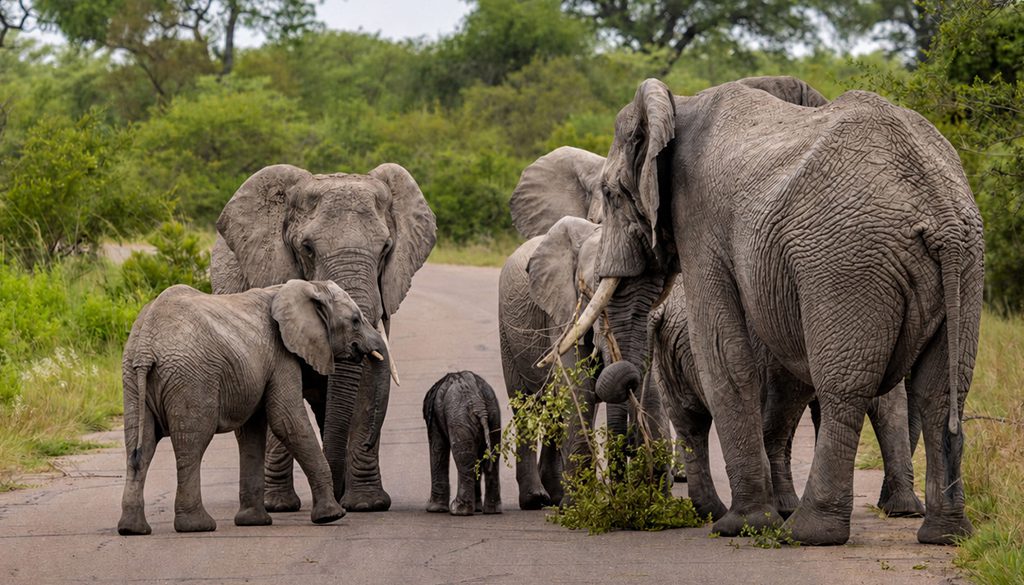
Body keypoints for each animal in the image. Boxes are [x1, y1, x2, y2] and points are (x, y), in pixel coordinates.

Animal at [118, 279, 387, 535]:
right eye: (355, 321)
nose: (367, 444)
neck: (305, 286)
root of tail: (146, 346)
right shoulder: (281, 355)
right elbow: (287, 421)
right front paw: (331, 516)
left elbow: (252, 432)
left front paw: (253, 522)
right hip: (191, 379)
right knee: (192, 445)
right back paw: (197, 526)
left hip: (131, 380)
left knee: (139, 448)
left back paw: (132, 529)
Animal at [211, 163, 436, 512]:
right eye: (308, 249)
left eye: (386, 248)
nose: (339, 496)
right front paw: (279, 505)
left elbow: (372, 381)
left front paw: (366, 504)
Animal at [423, 371, 502, 516]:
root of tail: (479, 405)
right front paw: (477, 508)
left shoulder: (434, 419)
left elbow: (438, 447)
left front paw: (434, 509)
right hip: (494, 415)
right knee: (493, 456)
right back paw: (492, 511)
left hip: (460, 418)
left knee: (463, 457)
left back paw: (458, 510)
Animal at [498, 215, 664, 510]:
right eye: (598, 285)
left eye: (656, 295)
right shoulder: (561, 309)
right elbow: (579, 386)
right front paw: (578, 506)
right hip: (506, 332)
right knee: (526, 404)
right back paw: (535, 500)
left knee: (555, 408)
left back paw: (555, 496)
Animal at [649, 282, 924, 521]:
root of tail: (666, 310)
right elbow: (885, 402)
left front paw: (905, 511)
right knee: (777, 416)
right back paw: (782, 507)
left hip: (670, 357)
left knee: (690, 424)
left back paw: (711, 511)